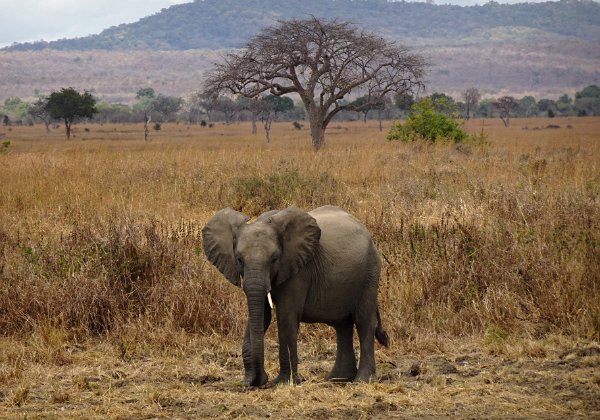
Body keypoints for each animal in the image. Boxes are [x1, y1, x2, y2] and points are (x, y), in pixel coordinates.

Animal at [202, 205, 390, 386]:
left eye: (275, 259)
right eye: (239, 259)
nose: (258, 380)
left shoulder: (299, 270)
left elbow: (286, 316)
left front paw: (283, 382)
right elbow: (263, 315)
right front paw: (251, 381)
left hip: (370, 271)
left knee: (364, 322)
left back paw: (362, 380)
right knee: (343, 325)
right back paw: (338, 379)